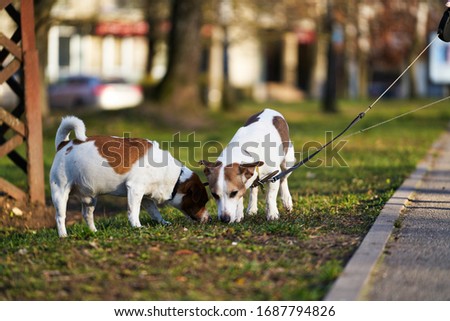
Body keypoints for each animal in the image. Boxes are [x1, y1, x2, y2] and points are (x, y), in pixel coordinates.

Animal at [49, 115, 211, 235]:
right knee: (60, 217)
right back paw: (63, 235)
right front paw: (137, 226)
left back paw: (94, 231)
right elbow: (133, 212)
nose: (208, 218)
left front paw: (163, 222)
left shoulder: (146, 197)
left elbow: (155, 212)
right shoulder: (135, 190)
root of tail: (64, 145)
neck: (175, 177)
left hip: (90, 199)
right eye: (202, 202)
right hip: (60, 192)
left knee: (87, 215)